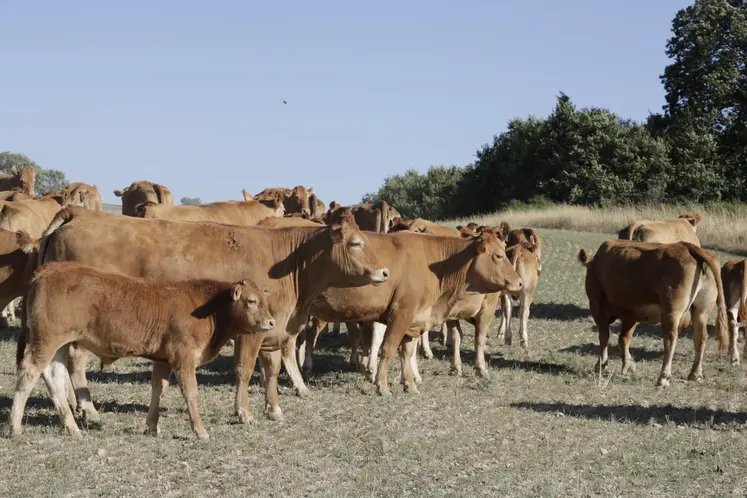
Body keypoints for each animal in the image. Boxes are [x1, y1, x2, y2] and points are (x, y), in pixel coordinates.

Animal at [11, 262, 275, 440]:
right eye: (251, 301)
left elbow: (158, 389)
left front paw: (152, 425)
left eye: (264, 300)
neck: (208, 307)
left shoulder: (164, 358)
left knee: (53, 376)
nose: (271, 322)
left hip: (59, 344)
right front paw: (200, 431)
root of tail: (49, 269)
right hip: (47, 340)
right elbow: (190, 393)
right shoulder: (184, 357)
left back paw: (71, 427)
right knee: (28, 373)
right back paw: (15, 426)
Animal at [33, 206, 388, 423]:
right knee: (73, 361)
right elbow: (245, 370)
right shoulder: (252, 332)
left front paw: (273, 408)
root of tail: (81, 213)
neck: (287, 262)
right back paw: (87, 409)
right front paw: (243, 412)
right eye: (355, 243)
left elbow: (271, 370)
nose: (384, 272)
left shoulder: (273, 330)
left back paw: (73, 406)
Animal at [577, 239, 729, 386]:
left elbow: (604, 336)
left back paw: (663, 377)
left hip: (671, 310)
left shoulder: (598, 306)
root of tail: (686, 246)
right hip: (701, 311)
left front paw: (601, 365)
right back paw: (695, 374)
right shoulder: (632, 313)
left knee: (670, 338)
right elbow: (623, 338)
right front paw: (628, 365)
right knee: (700, 338)